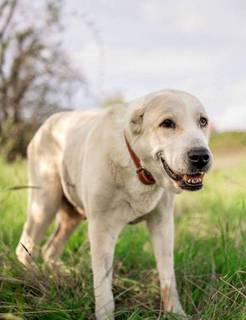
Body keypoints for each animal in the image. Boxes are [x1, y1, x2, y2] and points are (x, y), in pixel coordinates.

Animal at [15, 90, 211, 320]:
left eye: (203, 121)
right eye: (167, 123)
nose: (201, 156)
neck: (138, 168)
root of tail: (48, 122)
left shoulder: (162, 223)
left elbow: (167, 276)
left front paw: (176, 313)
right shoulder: (101, 228)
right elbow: (103, 288)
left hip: (70, 216)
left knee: (50, 250)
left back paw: (62, 276)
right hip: (44, 204)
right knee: (25, 248)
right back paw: (32, 282)